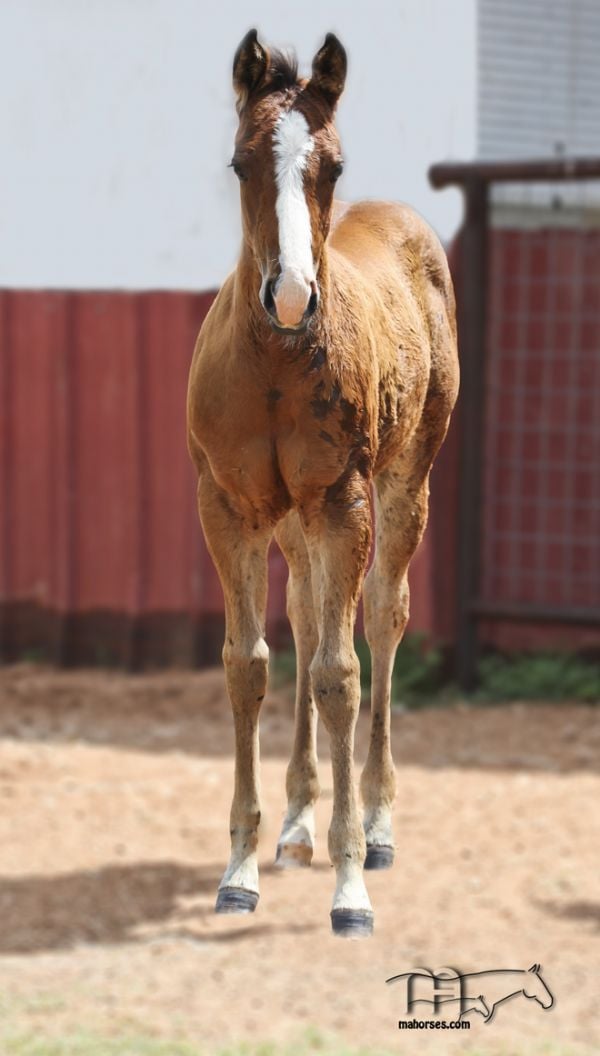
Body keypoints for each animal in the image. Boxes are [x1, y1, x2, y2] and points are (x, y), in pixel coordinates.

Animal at [188, 30, 458, 941]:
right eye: (240, 162)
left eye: (332, 166)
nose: (292, 297)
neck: (275, 363)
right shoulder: (230, 506)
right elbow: (249, 663)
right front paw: (239, 870)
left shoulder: (341, 500)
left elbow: (343, 673)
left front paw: (349, 890)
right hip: (293, 520)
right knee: (306, 618)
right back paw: (298, 825)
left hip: (402, 486)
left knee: (380, 618)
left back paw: (374, 828)